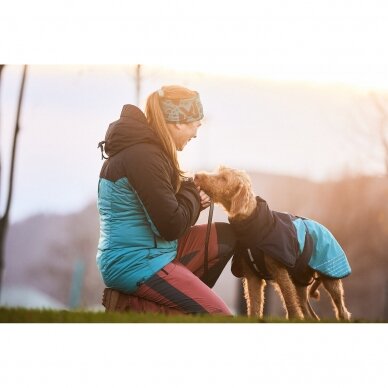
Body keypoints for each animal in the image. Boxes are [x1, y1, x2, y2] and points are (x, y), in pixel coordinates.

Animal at [194, 165, 352, 320]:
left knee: (341, 310)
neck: (255, 223)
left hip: (331, 278)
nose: (196, 175)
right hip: (300, 282)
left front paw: (293, 318)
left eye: (224, 178)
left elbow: (289, 302)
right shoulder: (252, 277)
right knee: (309, 313)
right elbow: (254, 306)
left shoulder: (280, 272)